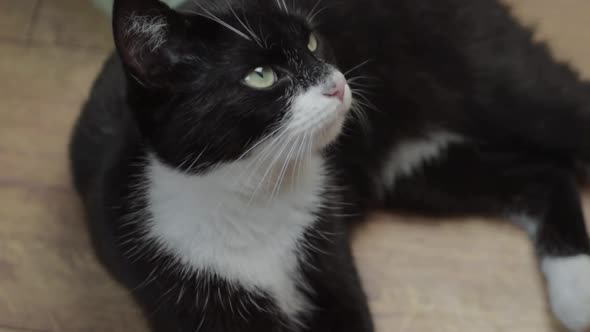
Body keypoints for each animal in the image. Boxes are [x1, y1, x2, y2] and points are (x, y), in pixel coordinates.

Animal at [71, 0, 590, 330]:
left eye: (314, 43)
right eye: (261, 75)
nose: (337, 85)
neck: (251, 196)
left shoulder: (327, 249)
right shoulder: (183, 293)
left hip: (496, 76)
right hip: (416, 167)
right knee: (542, 175)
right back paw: (575, 286)